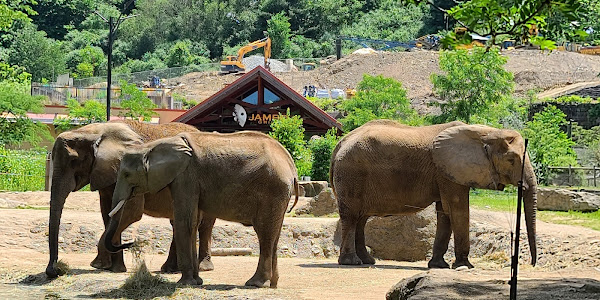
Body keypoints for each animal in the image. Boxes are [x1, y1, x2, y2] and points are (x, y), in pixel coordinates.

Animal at [46, 120, 202, 278]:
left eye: (73, 160)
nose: (55, 270)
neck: (93, 131)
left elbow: (131, 212)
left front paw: (98, 265)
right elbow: (107, 213)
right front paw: (113, 268)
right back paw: (170, 269)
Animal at [103, 132, 300, 288]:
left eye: (127, 174)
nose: (131, 243)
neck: (151, 146)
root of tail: (291, 166)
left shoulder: (186, 177)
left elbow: (185, 222)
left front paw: (185, 283)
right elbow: (193, 222)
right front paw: (196, 282)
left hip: (272, 190)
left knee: (264, 232)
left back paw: (255, 284)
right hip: (279, 195)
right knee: (274, 234)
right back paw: (273, 284)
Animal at [330, 119, 536, 270]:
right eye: (511, 160)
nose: (532, 264)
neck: (486, 132)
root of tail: (340, 143)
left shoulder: (446, 172)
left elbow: (445, 211)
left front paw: (439, 266)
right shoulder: (448, 171)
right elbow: (457, 208)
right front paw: (465, 266)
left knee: (361, 218)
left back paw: (368, 261)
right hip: (351, 174)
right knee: (352, 216)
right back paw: (351, 262)